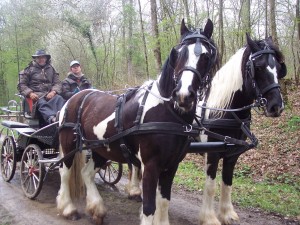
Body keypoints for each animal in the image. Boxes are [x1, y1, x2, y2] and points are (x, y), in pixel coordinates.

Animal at [55, 19, 217, 225]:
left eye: (206, 56)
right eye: (178, 53)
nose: (183, 95)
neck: (167, 111)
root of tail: (76, 96)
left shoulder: (172, 165)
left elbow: (164, 201)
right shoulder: (150, 165)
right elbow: (149, 206)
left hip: (100, 149)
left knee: (86, 173)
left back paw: (97, 209)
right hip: (69, 144)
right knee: (65, 172)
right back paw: (68, 208)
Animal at [197, 33, 286, 225]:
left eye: (279, 68)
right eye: (258, 67)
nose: (276, 106)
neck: (224, 110)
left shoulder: (232, 155)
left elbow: (227, 183)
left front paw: (227, 214)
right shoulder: (212, 154)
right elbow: (210, 186)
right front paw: (209, 218)